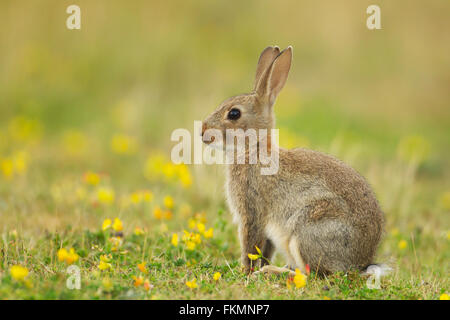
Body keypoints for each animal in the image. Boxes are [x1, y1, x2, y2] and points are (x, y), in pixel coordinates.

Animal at [202, 45, 384, 276]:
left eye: (234, 114)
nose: (203, 131)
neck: (254, 149)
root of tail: (360, 263)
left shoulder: (252, 212)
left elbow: (250, 246)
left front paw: (246, 272)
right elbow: (264, 249)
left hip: (306, 230)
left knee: (313, 275)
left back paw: (272, 272)